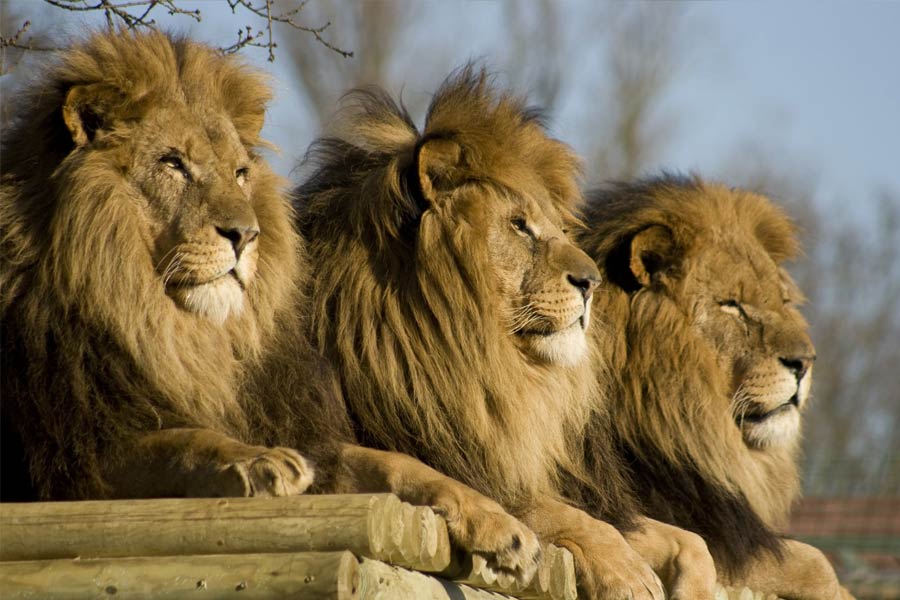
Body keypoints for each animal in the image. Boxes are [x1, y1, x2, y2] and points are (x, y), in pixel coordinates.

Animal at [0, 31, 543, 582]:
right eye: (172, 163)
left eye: (240, 174)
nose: (245, 234)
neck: (183, 333)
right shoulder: (78, 453)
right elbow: (182, 441)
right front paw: (259, 460)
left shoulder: (306, 431)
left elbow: (395, 463)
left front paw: (502, 525)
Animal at [295, 67, 717, 599]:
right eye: (519, 225)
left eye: (560, 229)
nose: (592, 282)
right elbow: (556, 514)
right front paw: (625, 573)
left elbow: (691, 541)